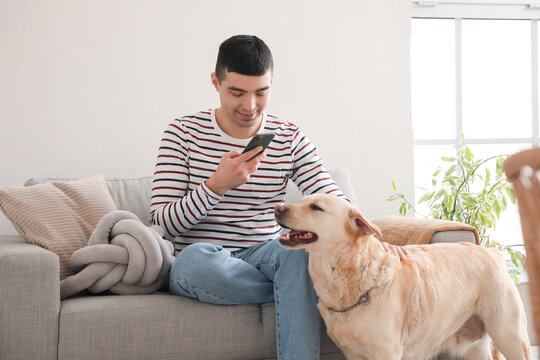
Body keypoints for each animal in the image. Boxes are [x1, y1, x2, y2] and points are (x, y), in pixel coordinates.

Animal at [276, 194, 528, 360]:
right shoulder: (353, 354)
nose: (278, 208)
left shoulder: (387, 352)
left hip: (510, 335)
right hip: (475, 346)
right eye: (301, 201)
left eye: (316, 207)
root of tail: (491, 251)